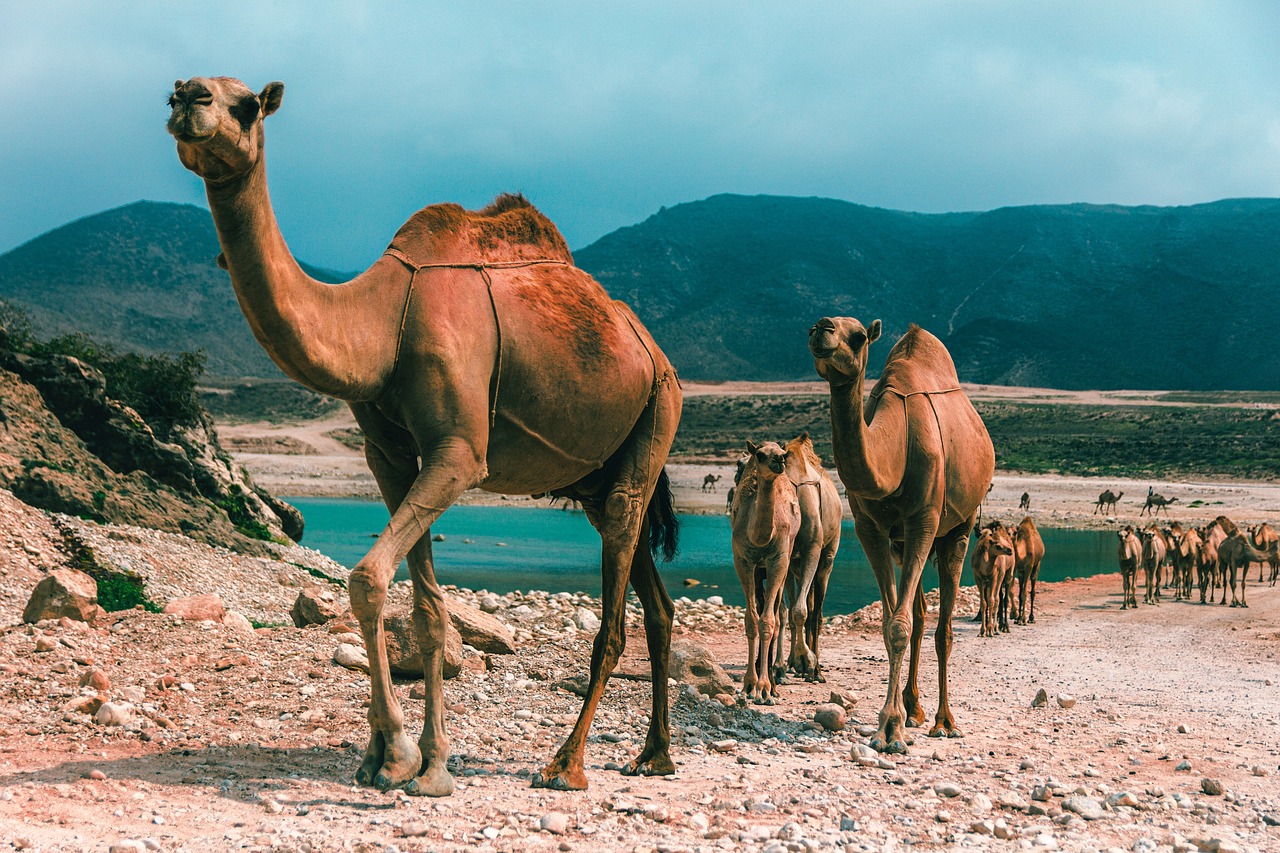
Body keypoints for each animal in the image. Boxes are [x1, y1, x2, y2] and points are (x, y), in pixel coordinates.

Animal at [172, 76, 691, 794]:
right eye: (178, 90)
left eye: (246, 105)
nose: (187, 99)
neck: (383, 319)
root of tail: (652, 350)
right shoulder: (388, 454)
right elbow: (424, 608)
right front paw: (421, 759)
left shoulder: (459, 452)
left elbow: (367, 578)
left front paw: (395, 754)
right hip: (599, 469)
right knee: (656, 597)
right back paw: (654, 754)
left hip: (659, 407)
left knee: (616, 599)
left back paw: (567, 763)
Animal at [732, 440, 798, 701]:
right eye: (759, 455)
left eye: (784, 454)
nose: (778, 461)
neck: (760, 537)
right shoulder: (743, 560)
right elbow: (751, 620)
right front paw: (749, 685)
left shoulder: (777, 560)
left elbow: (768, 621)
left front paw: (763, 688)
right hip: (760, 570)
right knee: (762, 609)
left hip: (784, 563)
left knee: (777, 614)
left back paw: (773, 680)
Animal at [803, 313, 993, 753]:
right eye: (814, 329)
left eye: (858, 336)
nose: (822, 327)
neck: (894, 449)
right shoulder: (871, 529)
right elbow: (893, 620)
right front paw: (893, 721)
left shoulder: (923, 520)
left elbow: (900, 625)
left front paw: (890, 730)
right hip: (903, 542)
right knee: (921, 616)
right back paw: (915, 708)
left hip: (957, 527)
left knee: (942, 628)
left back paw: (943, 721)